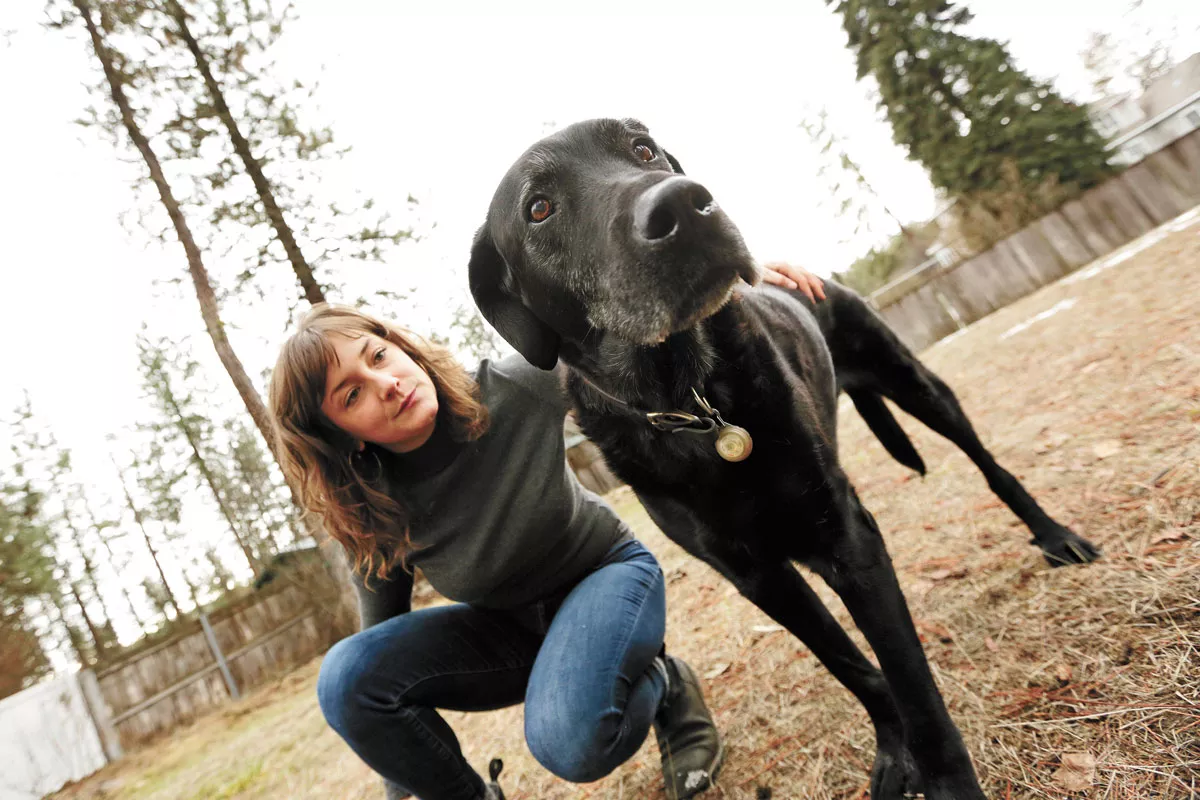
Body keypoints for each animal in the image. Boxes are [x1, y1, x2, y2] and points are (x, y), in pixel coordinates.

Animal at [465, 118, 1099, 800]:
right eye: (539, 208)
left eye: (641, 148)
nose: (684, 205)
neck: (693, 397)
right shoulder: (760, 579)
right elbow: (852, 666)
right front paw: (893, 749)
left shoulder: (849, 538)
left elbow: (915, 688)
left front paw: (945, 780)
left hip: (919, 387)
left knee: (989, 465)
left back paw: (1055, 536)